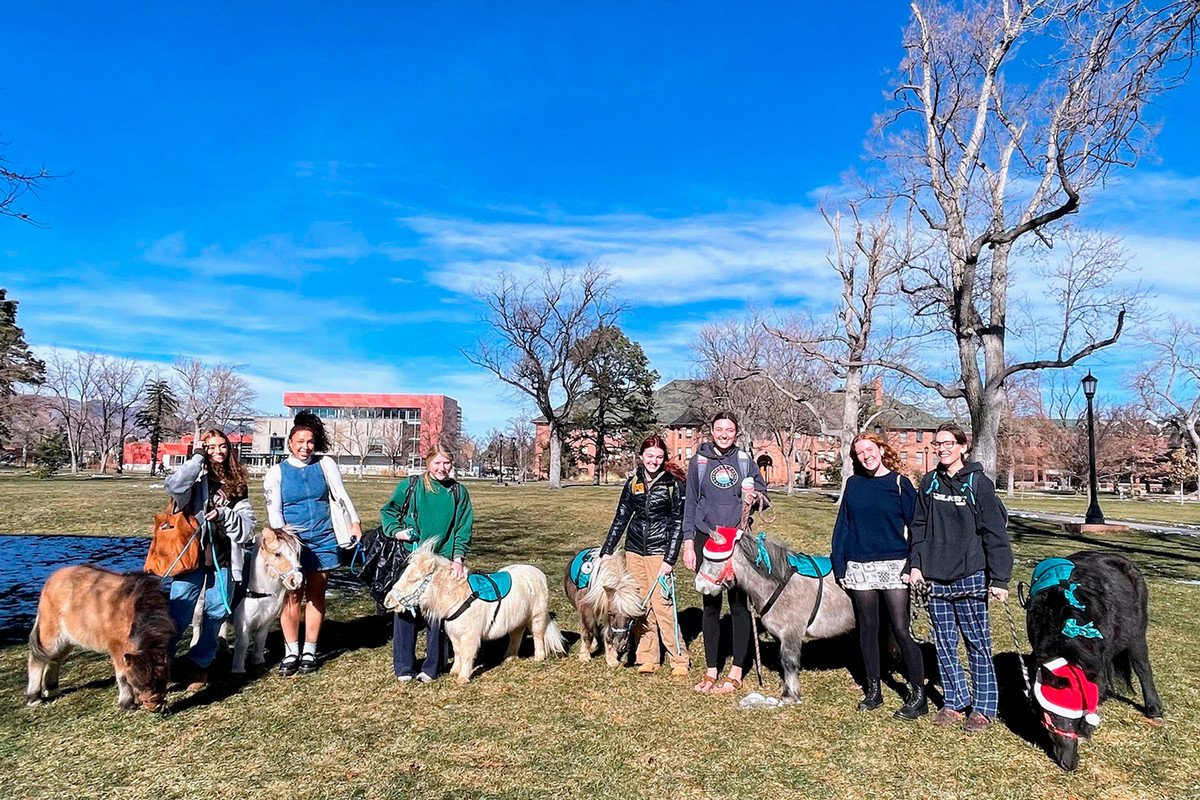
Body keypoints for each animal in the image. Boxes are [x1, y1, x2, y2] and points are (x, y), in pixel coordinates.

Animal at [27, 566, 175, 710]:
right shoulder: (117, 648)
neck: (132, 610)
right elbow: (122, 676)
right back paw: (33, 697)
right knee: (37, 660)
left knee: (55, 660)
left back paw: (52, 689)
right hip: (51, 637)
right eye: (138, 683)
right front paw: (127, 703)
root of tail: (50, 582)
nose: (155, 707)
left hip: (66, 641)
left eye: (161, 680)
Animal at [386, 546, 568, 686]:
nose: (387, 601)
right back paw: (509, 657)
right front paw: (454, 671)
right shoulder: (454, 633)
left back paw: (539, 657)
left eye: (413, 579)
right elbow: (458, 652)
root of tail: (538, 572)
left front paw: (463, 678)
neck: (459, 597)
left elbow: (467, 654)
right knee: (516, 634)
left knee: (538, 634)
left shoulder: (470, 635)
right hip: (517, 619)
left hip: (537, 614)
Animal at [696, 527, 854, 705]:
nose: (699, 585)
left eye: (712, 560)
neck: (780, 583)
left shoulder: (791, 633)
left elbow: (789, 662)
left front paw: (789, 695)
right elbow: (784, 663)